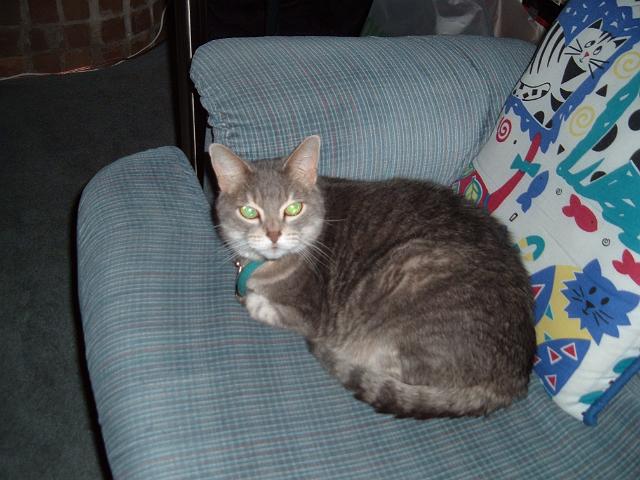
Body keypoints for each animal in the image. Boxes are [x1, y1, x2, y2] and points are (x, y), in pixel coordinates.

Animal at [209, 136, 536, 420]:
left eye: (293, 208)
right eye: (249, 211)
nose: (274, 235)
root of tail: (513, 382)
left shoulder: (310, 314)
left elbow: (271, 309)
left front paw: (254, 301)